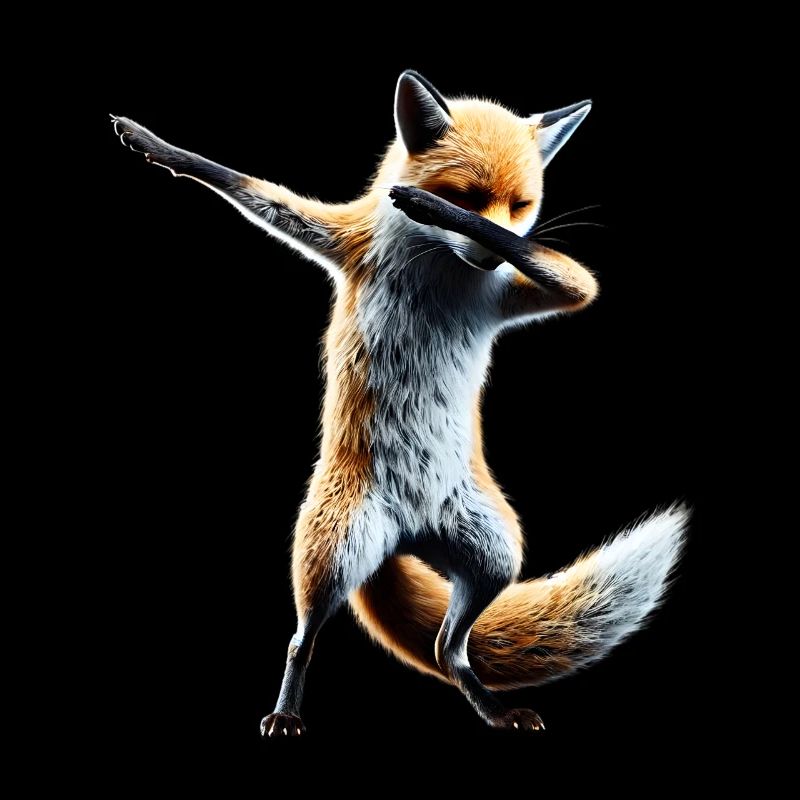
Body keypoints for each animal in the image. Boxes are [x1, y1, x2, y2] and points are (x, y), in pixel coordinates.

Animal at [112, 70, 687, 737]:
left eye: (521, 205)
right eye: (469, 194)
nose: (484, 255)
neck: (439, 267)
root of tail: (408, 535)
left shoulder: (529, 289)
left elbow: (568, 276)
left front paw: (435, 210)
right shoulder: (343, 238)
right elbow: (245, 185)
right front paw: (155, 144)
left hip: (495, 553)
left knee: (448, 650)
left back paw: (494, 709)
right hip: (333, 553)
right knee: (303, 640)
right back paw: (286, 711)